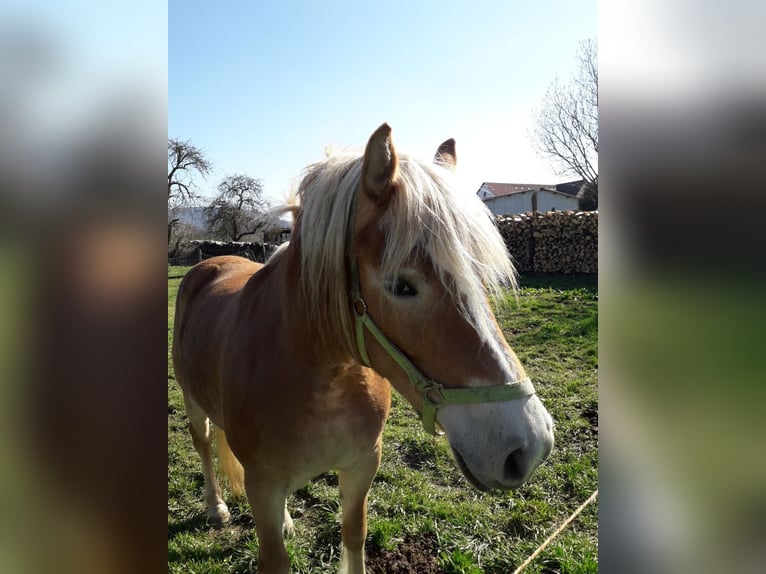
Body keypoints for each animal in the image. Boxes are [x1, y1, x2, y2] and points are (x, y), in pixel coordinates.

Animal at [172, 125, 560, 574]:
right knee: (203, 444)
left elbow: (354, 534)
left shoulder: (361, 466)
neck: (321, 381)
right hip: (192, 403)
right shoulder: (263, 485)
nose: (530, 446)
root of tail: (209, 265)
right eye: (401, 285)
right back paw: (216, 507)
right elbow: (276, 558)